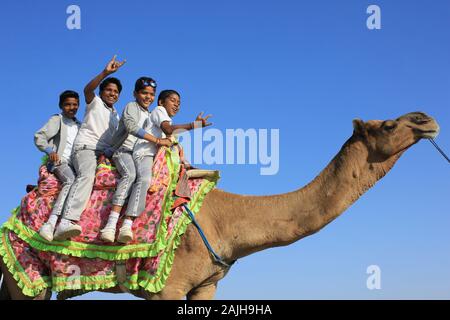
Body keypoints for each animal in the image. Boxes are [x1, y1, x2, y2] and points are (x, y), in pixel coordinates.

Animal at [0, 111, 440, 298]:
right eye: (389, 124)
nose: (427, 119)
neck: (227, 222)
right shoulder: (168, 286)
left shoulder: (206, 285)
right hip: (27, 275)